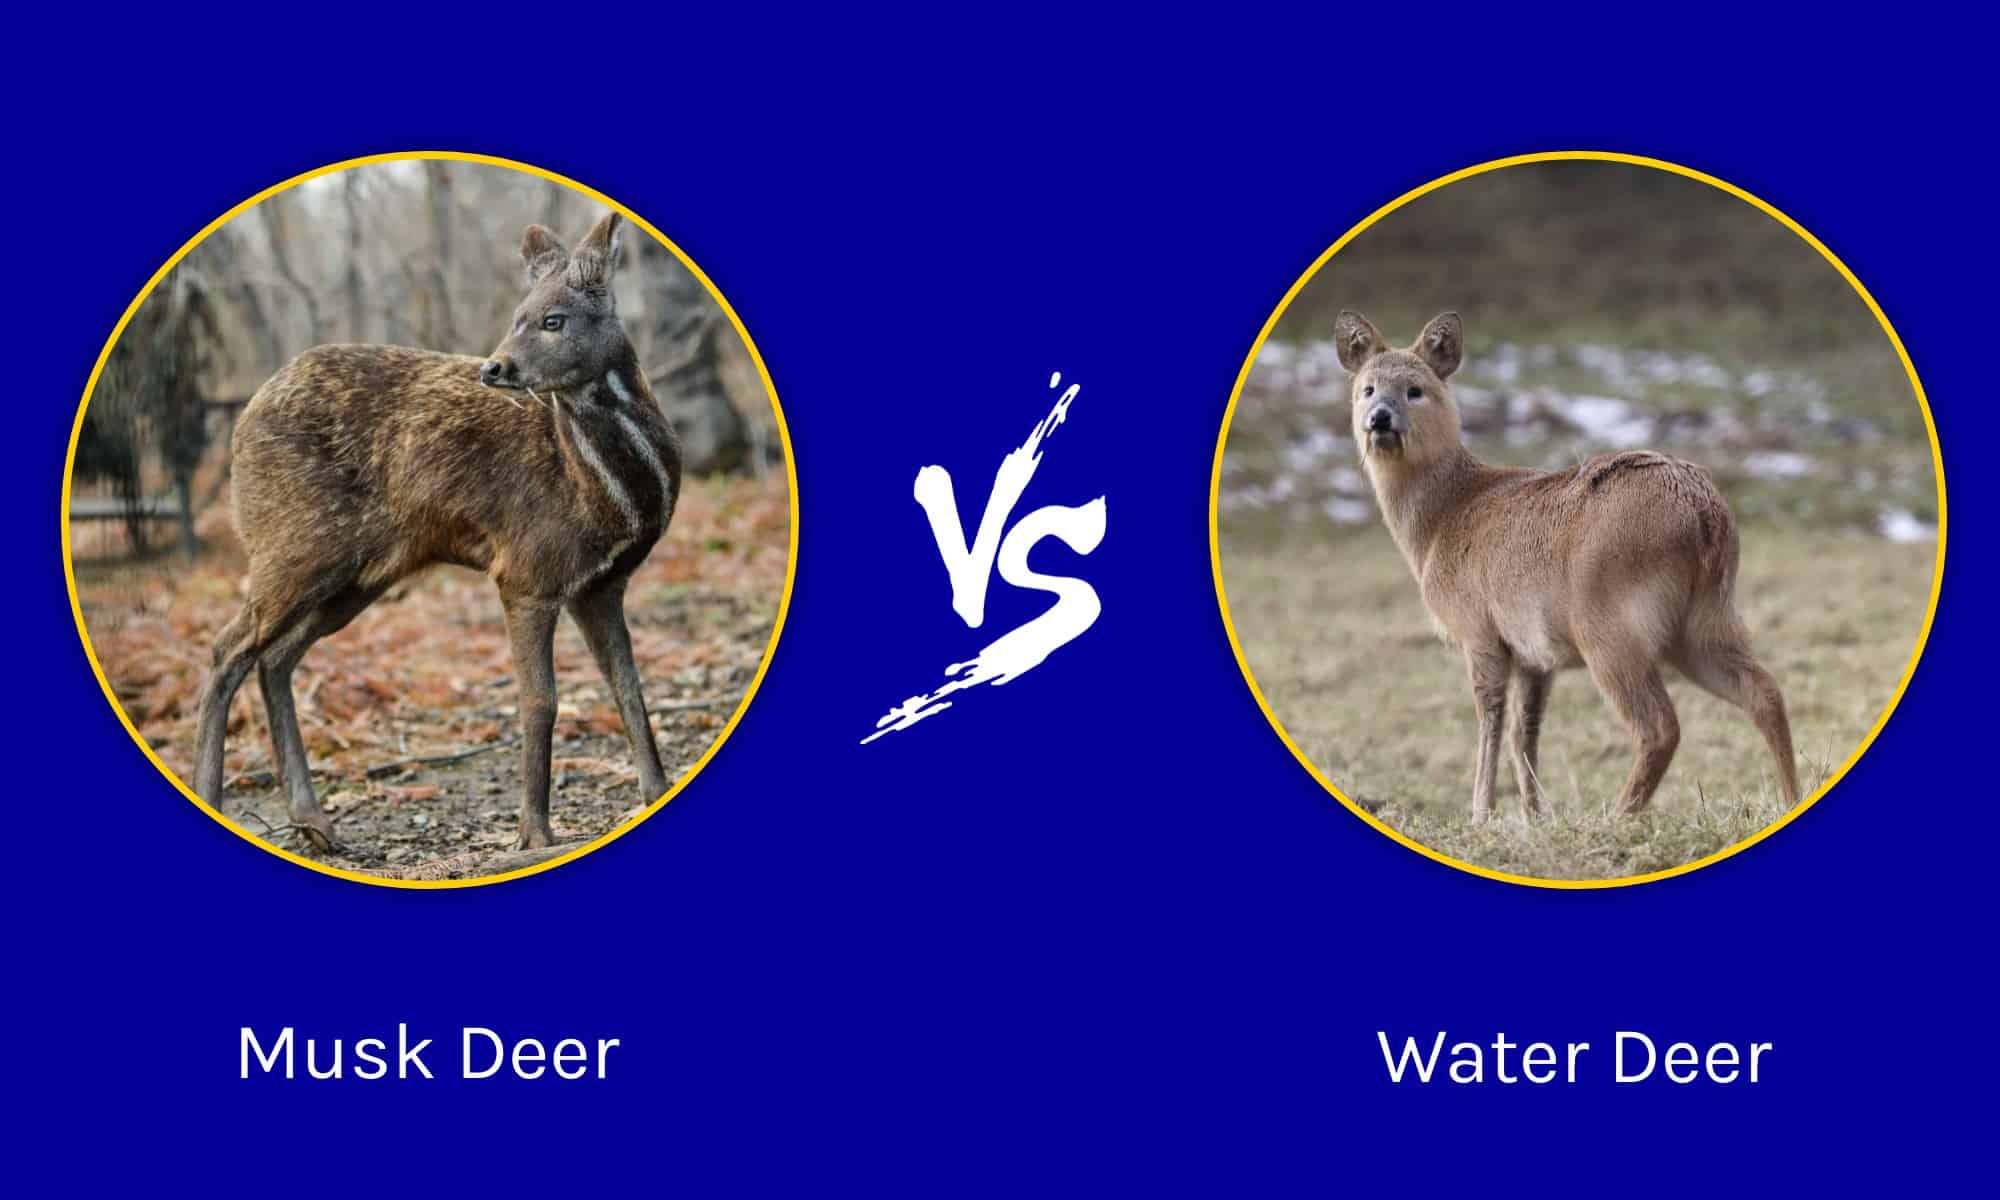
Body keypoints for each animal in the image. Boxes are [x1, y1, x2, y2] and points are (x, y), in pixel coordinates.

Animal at [191, 209, 682, 852]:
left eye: (553, 319)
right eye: (518, 316)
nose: (495, 367)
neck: (608, 495)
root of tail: (242, 420)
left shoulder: (600, 585)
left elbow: (629, 689)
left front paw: (655, 794)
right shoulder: (527, 570)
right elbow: (541, 700)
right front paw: (534, 834)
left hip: (360, 574)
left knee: (274, 657)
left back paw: (314, 821)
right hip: (294, 545)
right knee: (228, 647)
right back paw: (217, 796)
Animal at [1334, 310, 1799, 822]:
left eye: (1415, 390)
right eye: (1367, 389)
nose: (1379, 418)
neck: (1442, 521)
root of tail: (1704, 512)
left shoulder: (1479, 630)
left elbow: (1490, 720)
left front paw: (1482, 815)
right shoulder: (1535, 654)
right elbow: (1525, 730)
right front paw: (1535, 817)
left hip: (1612, 626)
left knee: (1660, 726)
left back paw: (1619, 816)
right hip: (1706, 617)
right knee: (1764, 691)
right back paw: (1790, 799)